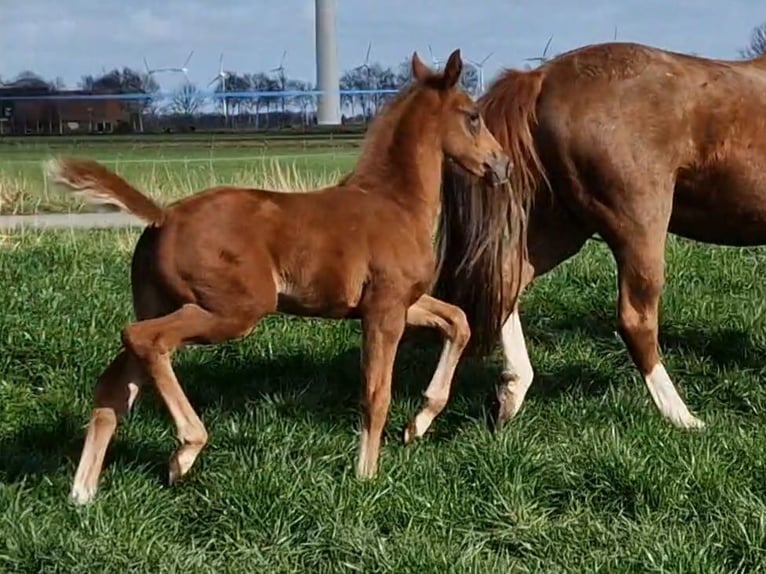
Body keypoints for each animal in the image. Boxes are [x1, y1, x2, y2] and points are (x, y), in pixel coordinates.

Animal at [46, 50, 510, 508]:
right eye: (472, 116)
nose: (501, 164)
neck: (396, 203)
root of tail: (163, 217)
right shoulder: (385, 308)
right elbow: (375, 394)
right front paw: (366, 476)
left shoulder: (403, 303)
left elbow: (458, 322)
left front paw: (420, 423)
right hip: (235, 311)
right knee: (145, 339)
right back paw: (186, 450)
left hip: (163, 302)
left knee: (113, 387)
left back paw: (83, 492)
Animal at [436, 41, 766, 432]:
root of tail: (541, 78)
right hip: (639, 223)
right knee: (635, 320)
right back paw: (685, 418)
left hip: (564, 224)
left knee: (504, 279)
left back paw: (501, 395)